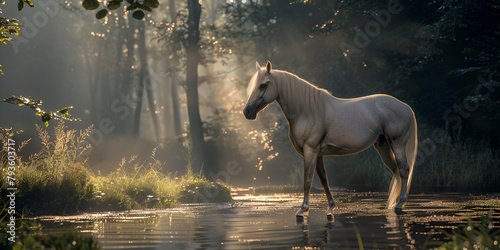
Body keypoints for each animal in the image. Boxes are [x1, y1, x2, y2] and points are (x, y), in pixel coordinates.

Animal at [244, 61, 416, 217]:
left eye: (263, 85)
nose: (247, 112)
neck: (307, 110)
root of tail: (406, 107)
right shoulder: (318, 154)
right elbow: (324, 181)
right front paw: (331, 207)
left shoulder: (310, 151)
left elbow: (307, 181)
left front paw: (303, 210)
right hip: (383, 146)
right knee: (396, 171)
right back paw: (394, 203)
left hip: (397, 143)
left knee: (403, 169)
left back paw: (400, 204)